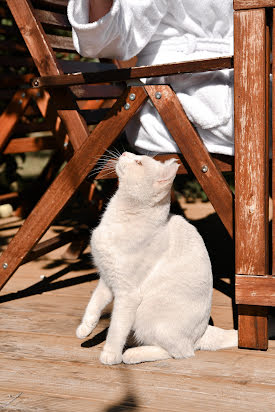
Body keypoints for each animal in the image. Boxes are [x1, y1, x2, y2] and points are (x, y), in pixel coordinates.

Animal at [76, 153, 238, 366]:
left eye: (138, 162)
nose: (125, 153)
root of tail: (202, 333)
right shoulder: (107, 279)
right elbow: (94, 303)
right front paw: (85, 328)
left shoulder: (127, 293)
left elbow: (116, 327)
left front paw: (110, 354)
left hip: (148, 316)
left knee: (180, 352)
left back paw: (132, 354)